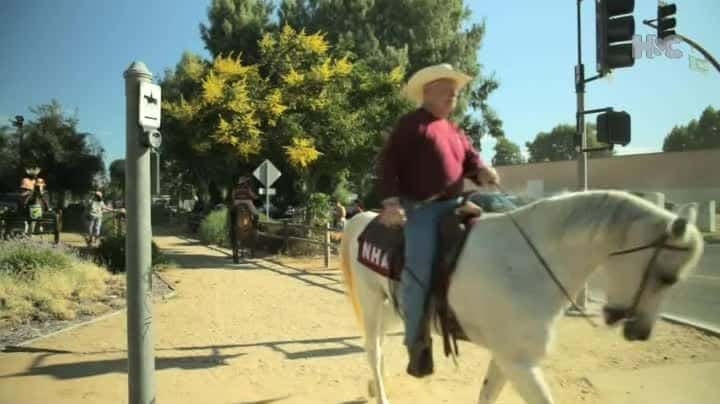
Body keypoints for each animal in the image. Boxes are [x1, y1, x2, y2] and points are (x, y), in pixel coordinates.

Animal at [338, 191, 704, 404]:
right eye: (667, 277)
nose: (641, 332)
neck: (530, 261)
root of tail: (364, 218)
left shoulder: (506, 359)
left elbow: (487, 395)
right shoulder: (520, 364)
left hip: (392, 306)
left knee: (376, 351)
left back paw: (374, 387)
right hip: (372, 306)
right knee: (374, 353)